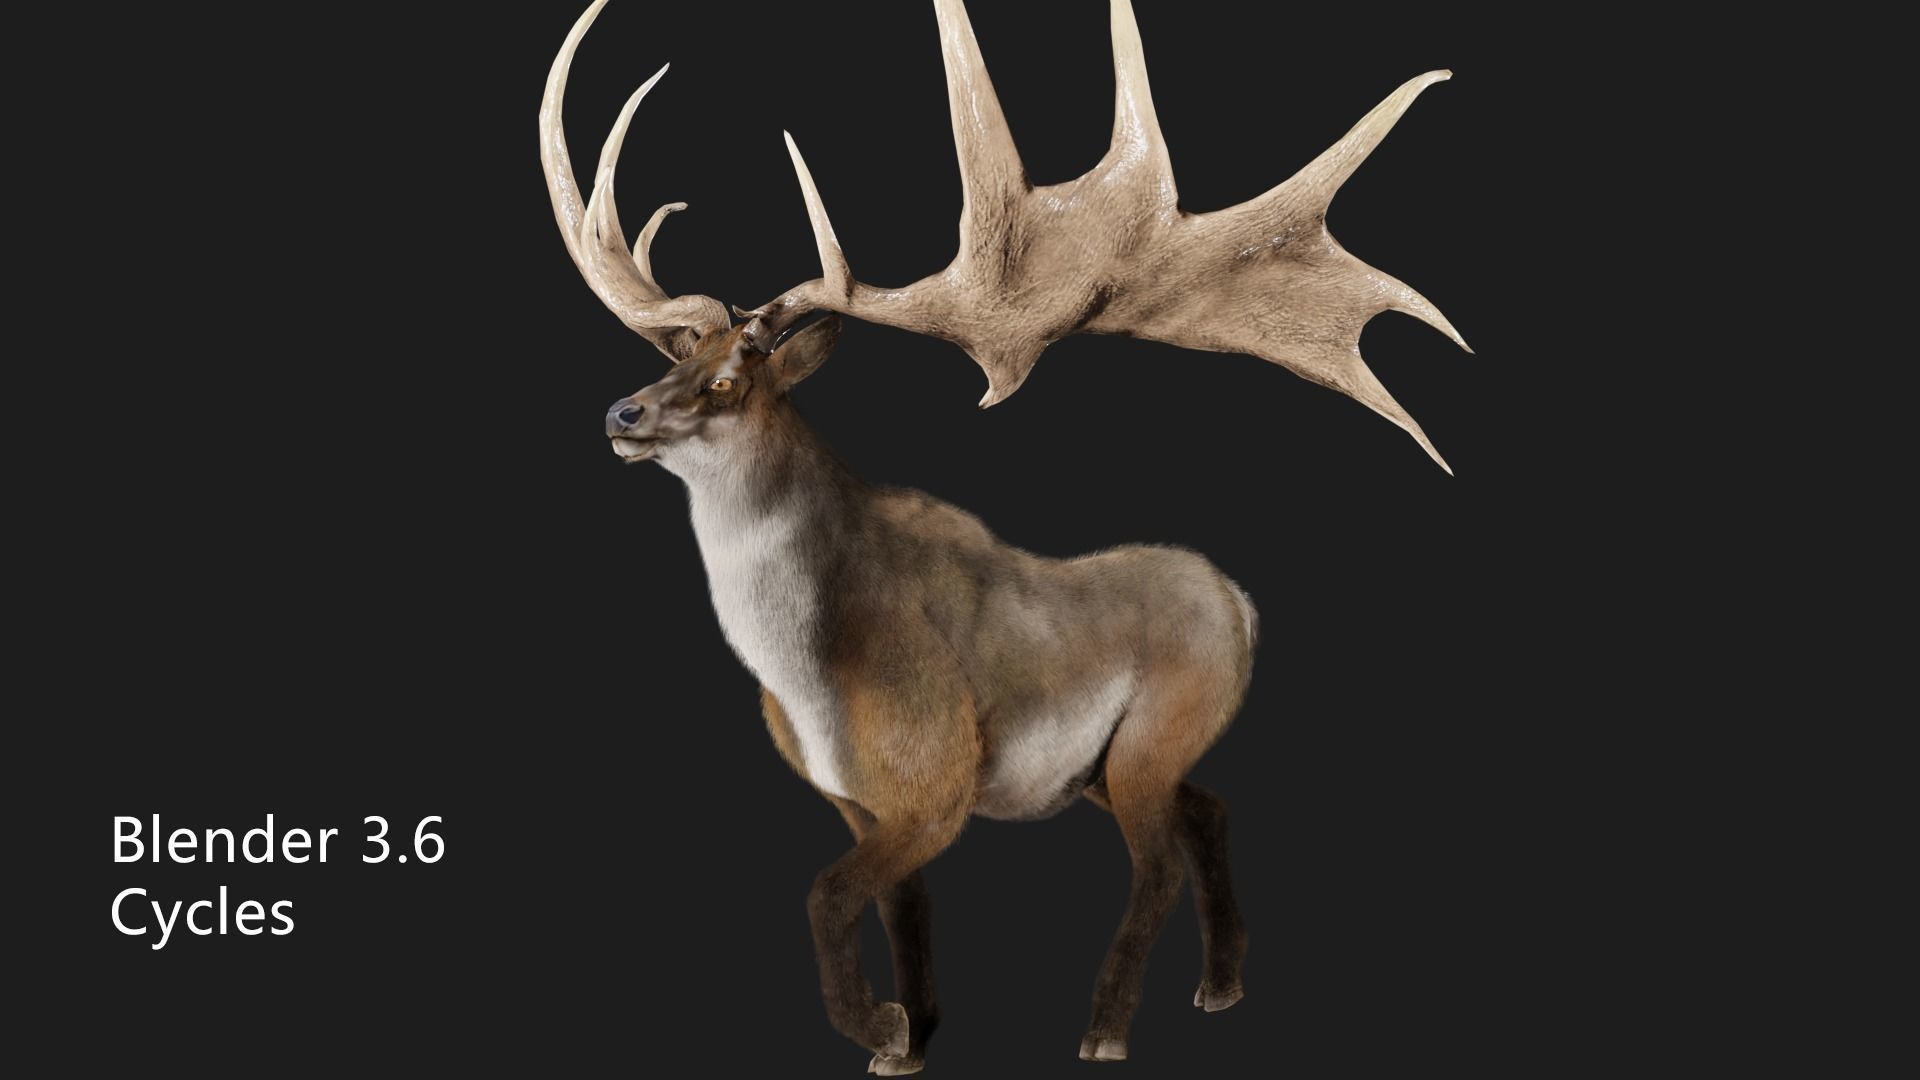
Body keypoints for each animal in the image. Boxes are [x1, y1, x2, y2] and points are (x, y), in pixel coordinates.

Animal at [541, 0, 1469, 1071]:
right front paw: (910, 1034)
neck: (807, 671)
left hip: (1150, 740)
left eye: (731, 379)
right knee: (1209, 807)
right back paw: (1222, 984)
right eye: (674, 357)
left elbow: (826, 894)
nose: (623, 413)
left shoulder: (936, 788)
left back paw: (1106, 1030)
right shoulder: (857, 800)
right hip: (1106, 768)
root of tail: (1240, 606)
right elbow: (902, 910)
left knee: (1157, 861)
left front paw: (881, 1024)